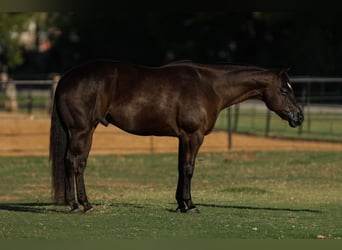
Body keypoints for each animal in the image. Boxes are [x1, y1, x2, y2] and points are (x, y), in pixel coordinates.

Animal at [49, 60, 304, 213]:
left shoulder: (183, 138)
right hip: (83, 131)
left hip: (75, 132)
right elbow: (189, 169)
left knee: (68, 162)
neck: (209, 86)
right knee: (76, 163)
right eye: (284, 90)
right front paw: (190, 205)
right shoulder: (194, 136)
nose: (299, 116)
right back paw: (83, 204)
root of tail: (66, 78)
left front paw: (181, 204)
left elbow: (181, 168)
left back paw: (73, 203)